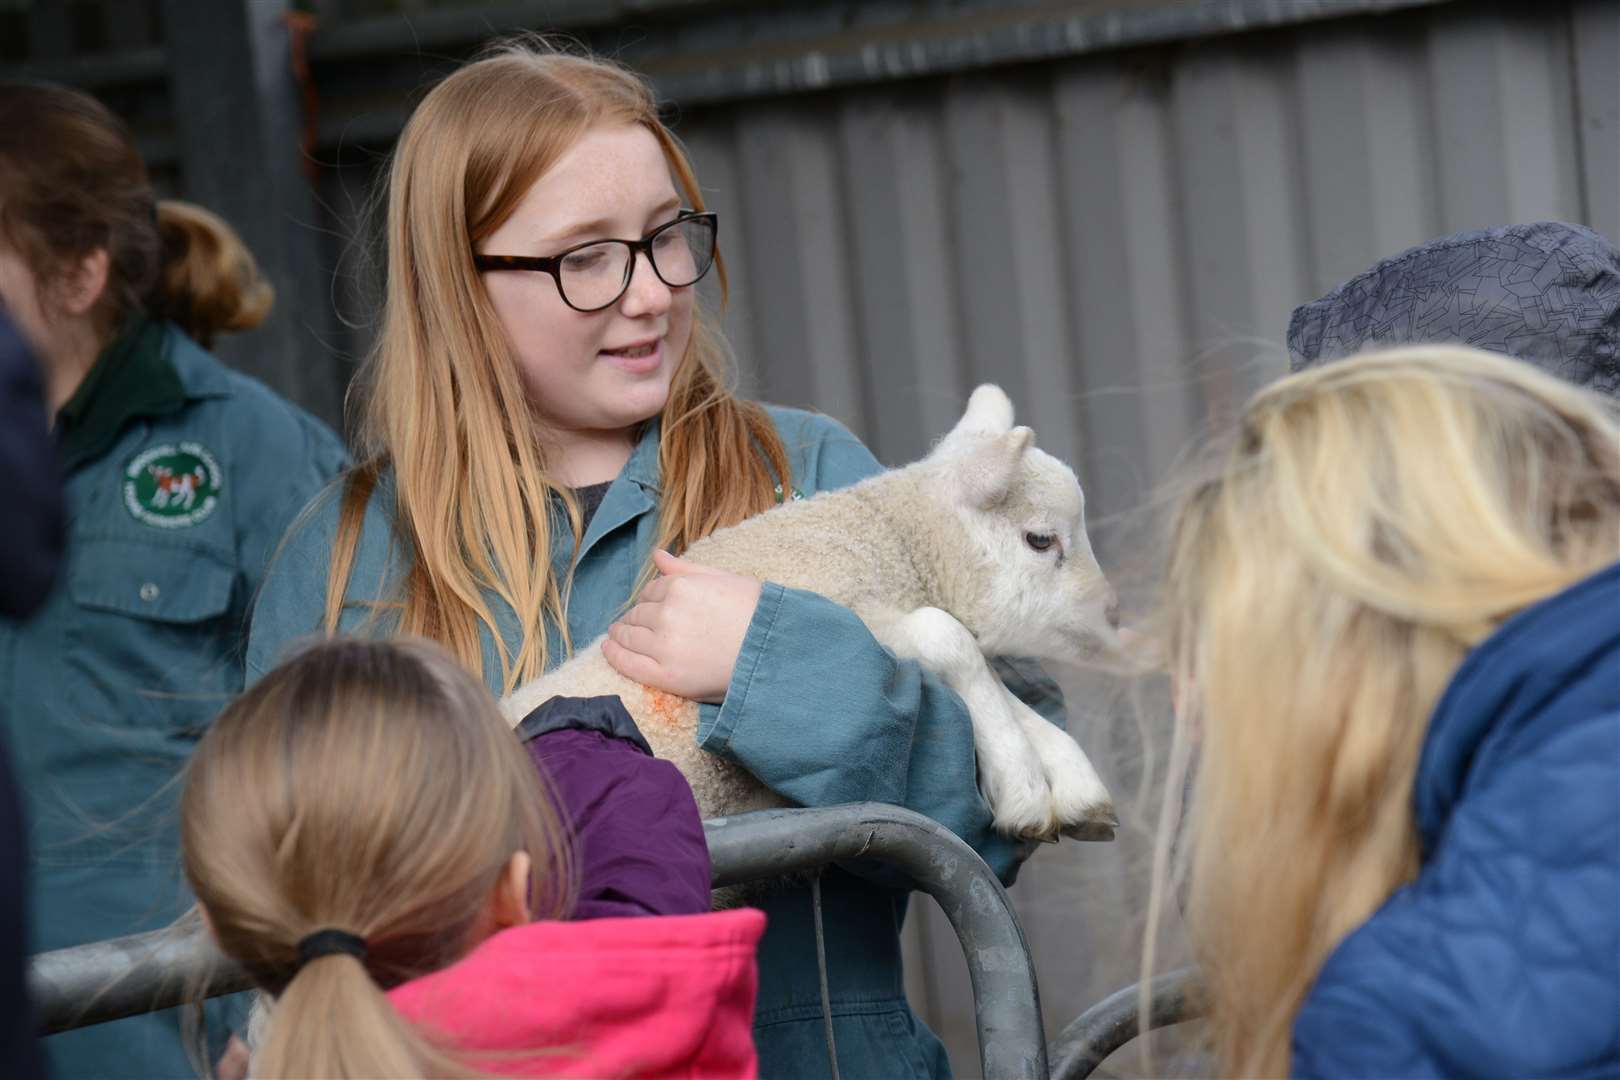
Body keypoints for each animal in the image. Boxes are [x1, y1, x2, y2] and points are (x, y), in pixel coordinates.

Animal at [502, 386, 1114, 841]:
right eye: (1041, 540)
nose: (1111, 611)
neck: (886, 542)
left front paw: (1071, 778)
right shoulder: (857, 613)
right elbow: (949, 637)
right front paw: (1024, 786)